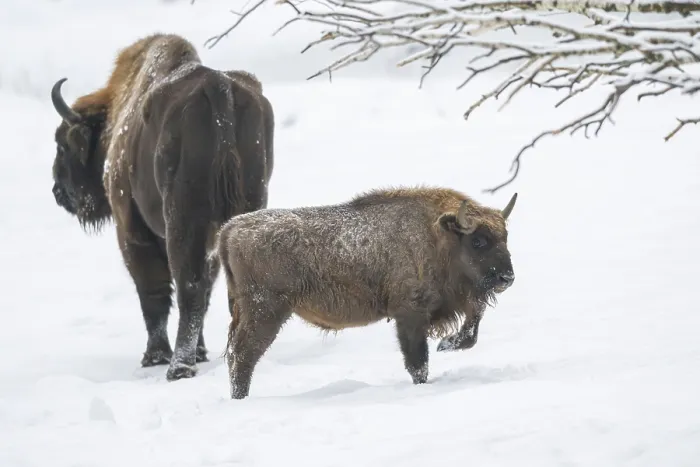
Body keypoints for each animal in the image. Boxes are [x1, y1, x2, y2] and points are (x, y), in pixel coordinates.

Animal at [50, 33, 274, 381]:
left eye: (62, 145)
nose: (58, 192)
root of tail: (218, 87)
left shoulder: (133, 233)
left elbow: (152, 293)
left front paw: (154, 356)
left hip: (182, 223)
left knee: (188, 287)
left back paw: (178, 367)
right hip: (245, 210)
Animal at [218, 186, 517, 399]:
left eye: (505, 237)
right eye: (478, 241)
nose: (507, 277)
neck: (436, 235)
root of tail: (230, 228)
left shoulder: (459, 303)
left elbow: (471, 330)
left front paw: (447, 343)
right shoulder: (409, 315)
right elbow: (417, 362)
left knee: (237, 355)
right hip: (267, 312)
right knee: (243, 355)